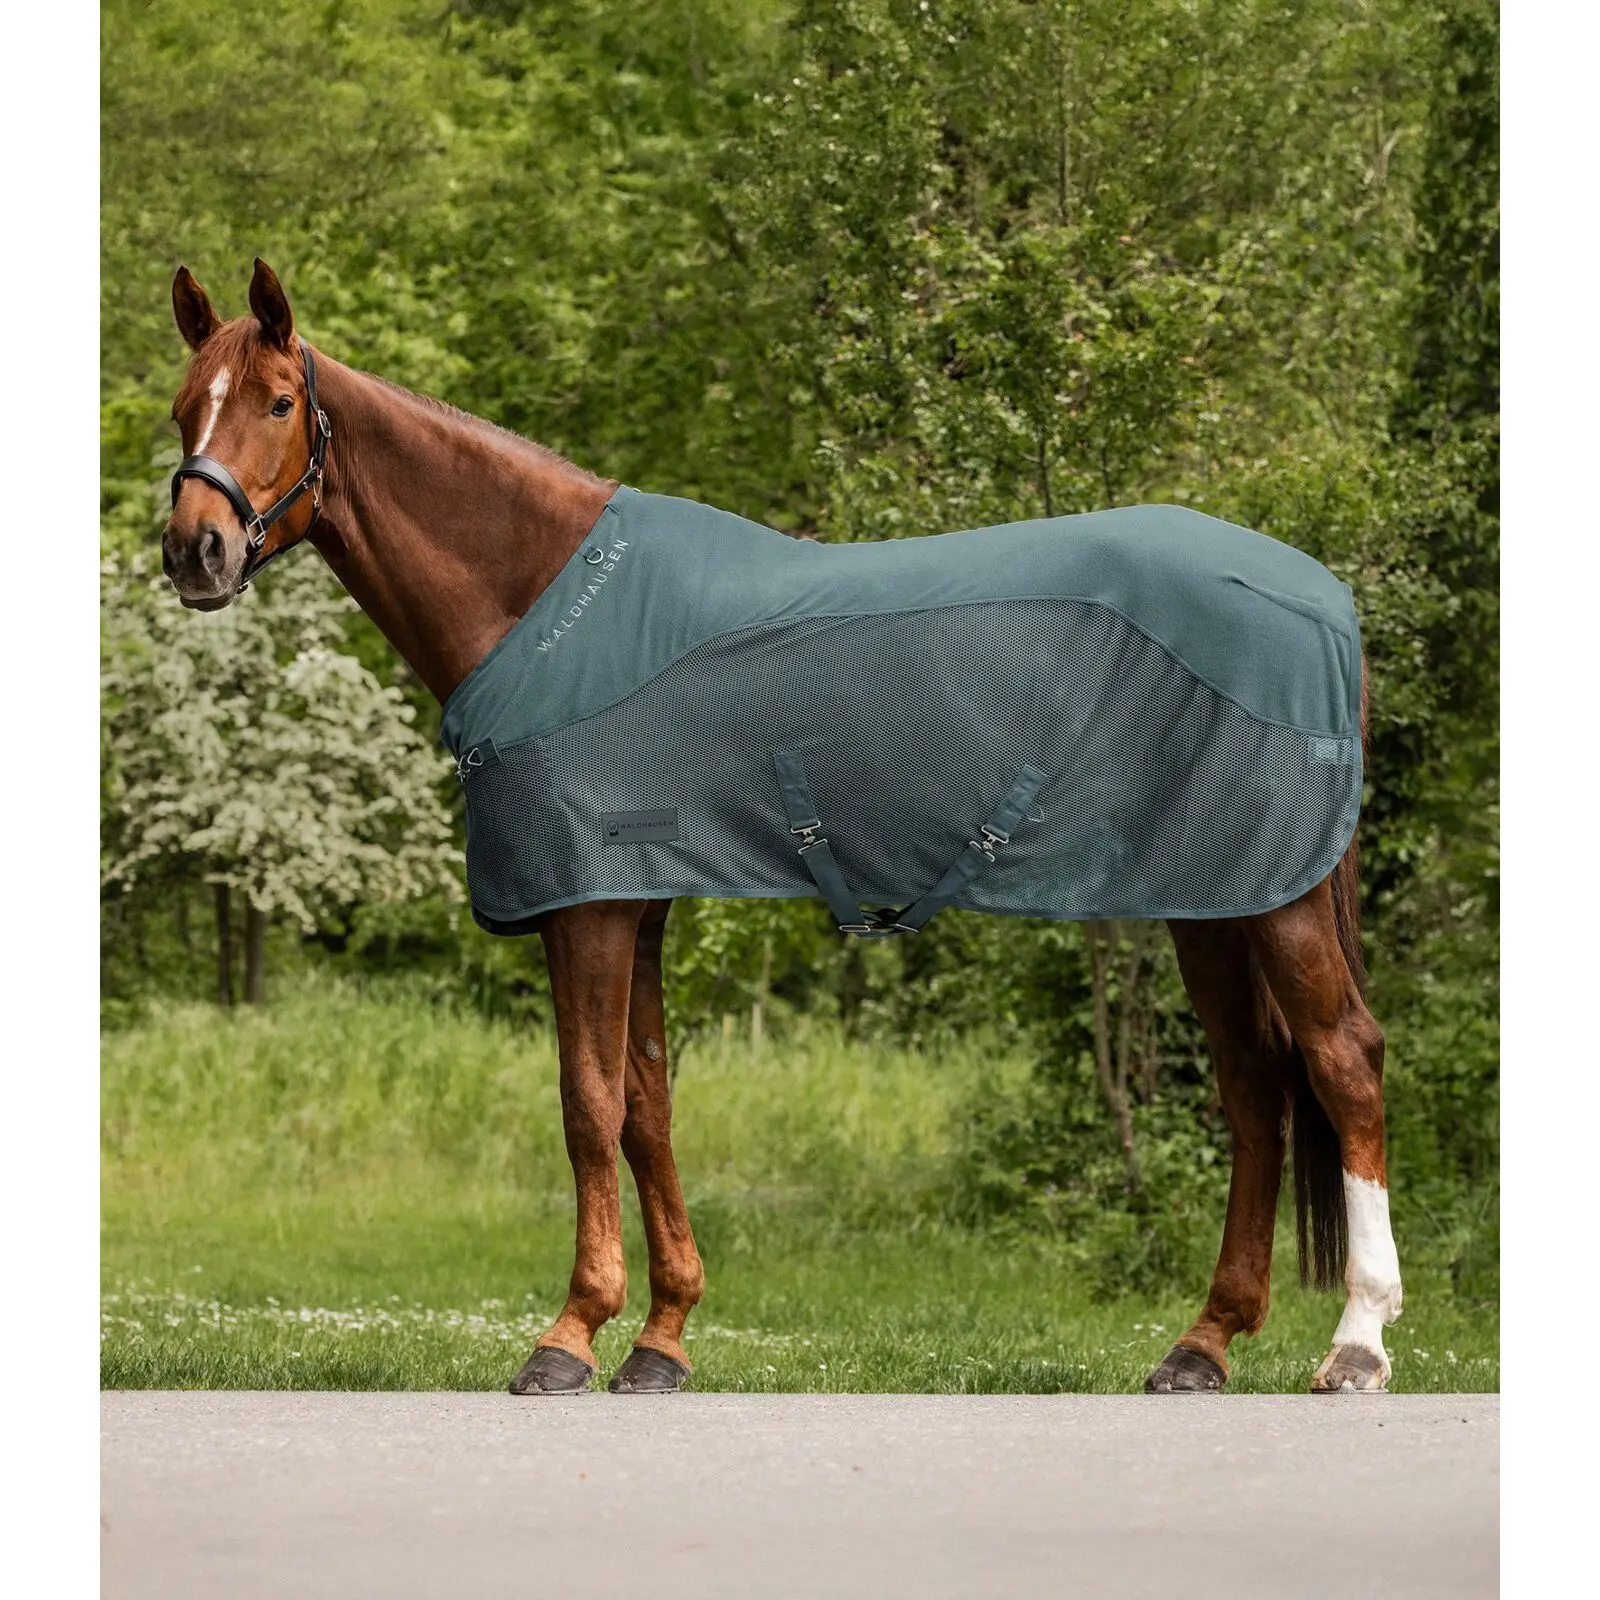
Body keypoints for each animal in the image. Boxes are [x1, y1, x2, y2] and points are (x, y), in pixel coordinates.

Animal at [159, 259, 1403, 1397]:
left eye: (277, 401)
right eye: (183, 407)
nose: (193, 551)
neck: (546, 603)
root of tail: (1318, 596)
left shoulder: (588, 901)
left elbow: (587, 1104)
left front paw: (570, 1334)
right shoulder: (639, 902)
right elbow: (648, 1104)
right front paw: (661, 1338)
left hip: (1277, 900)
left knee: (1341, 1064)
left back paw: (1355, 1344)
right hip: (1213, 900)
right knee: (1254, 1093)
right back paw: (1201, 1344)